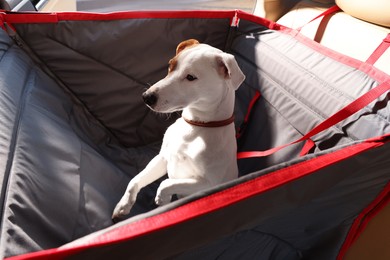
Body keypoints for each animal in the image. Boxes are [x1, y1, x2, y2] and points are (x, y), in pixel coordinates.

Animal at [112, 38, 245, 220]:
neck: (195, 127)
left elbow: (167, 183)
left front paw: (163, 198)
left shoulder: (209, 183)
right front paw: (123, 205)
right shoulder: (162, 158)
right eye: (170, 66)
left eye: (191, 77)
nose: (147, 97)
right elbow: (135, 180)